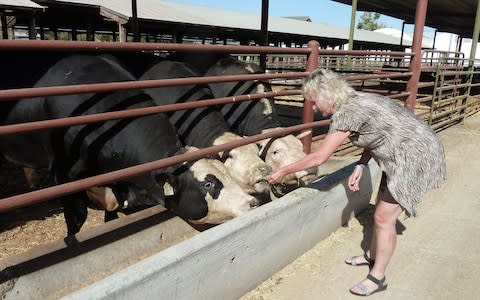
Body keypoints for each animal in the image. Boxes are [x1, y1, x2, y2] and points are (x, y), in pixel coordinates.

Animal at [0, 55, 255, 236]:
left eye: (226, 172)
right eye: (208, 183)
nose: (252, 203)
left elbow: (111, 208)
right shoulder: (64, 178)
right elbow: (77, 217)